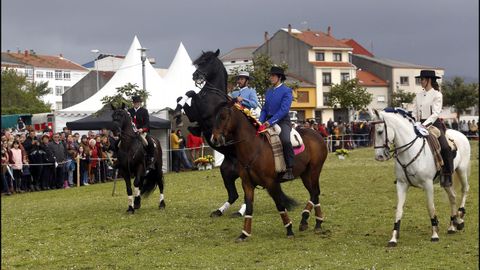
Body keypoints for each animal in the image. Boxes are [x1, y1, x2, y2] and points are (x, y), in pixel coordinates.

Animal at [174, 49, 246, 217]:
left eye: (207, 61)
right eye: (199, 62)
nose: (195, 76)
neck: (211, 93)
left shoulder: (204, 112)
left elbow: (191, 93)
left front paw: (178, 113)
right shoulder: (194, 114)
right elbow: (184, 96)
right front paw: (178, 113)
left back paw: (241, 212)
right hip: (225, 172)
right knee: (233, 195)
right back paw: (219, 211)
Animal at [211, 102, 328, 242]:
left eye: (223, 117)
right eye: (215, 117)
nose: (214, 139)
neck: (254, 147)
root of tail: (317, 134)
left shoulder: (271, 183)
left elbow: (280, 205)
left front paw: (289, 229)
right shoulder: (247, 184)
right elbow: (249, 207)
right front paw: (244, 234)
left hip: (314, 170)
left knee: (315, 192)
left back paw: (311, 220)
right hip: (305, 174)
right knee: (314, 193)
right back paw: (312, 221)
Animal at [372, 109, 468, 247]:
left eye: (380, 131)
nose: (379, 156)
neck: (409, 151)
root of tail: (460, 134)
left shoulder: (428, 184)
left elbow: (430, 207)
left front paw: (434, 234)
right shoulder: (401, 184)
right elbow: (399, 209)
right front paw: (393, 238)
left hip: (462, 170)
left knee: (465, 190)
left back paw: (460, 218)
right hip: (446, 180)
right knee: (453, 197)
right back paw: (452, 225)